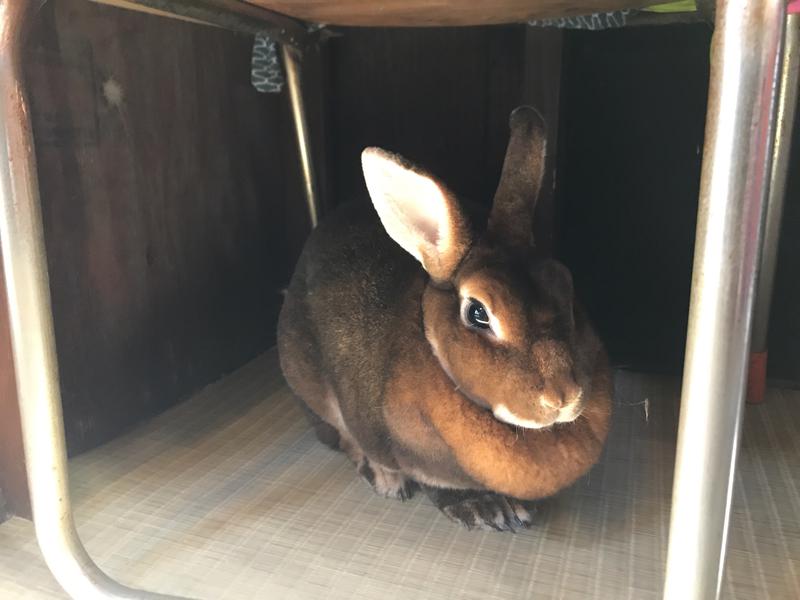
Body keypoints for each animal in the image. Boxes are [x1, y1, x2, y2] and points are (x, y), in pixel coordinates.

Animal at [276, 106, 612, 528]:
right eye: (478, 312)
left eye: (566, 285)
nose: (563, 398)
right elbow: (438, 487)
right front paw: (489, 510)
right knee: (340, 437)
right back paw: (386, 479)